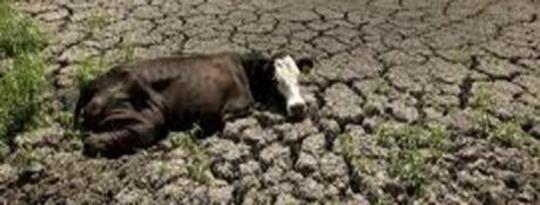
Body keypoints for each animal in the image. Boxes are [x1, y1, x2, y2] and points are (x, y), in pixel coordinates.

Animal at [74, 51, 314, 157]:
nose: (298, 107)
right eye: (275, 80)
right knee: (94, 142)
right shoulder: (234, 108)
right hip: (145, 117)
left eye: (298, 77)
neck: (245, 71)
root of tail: (91, 85)